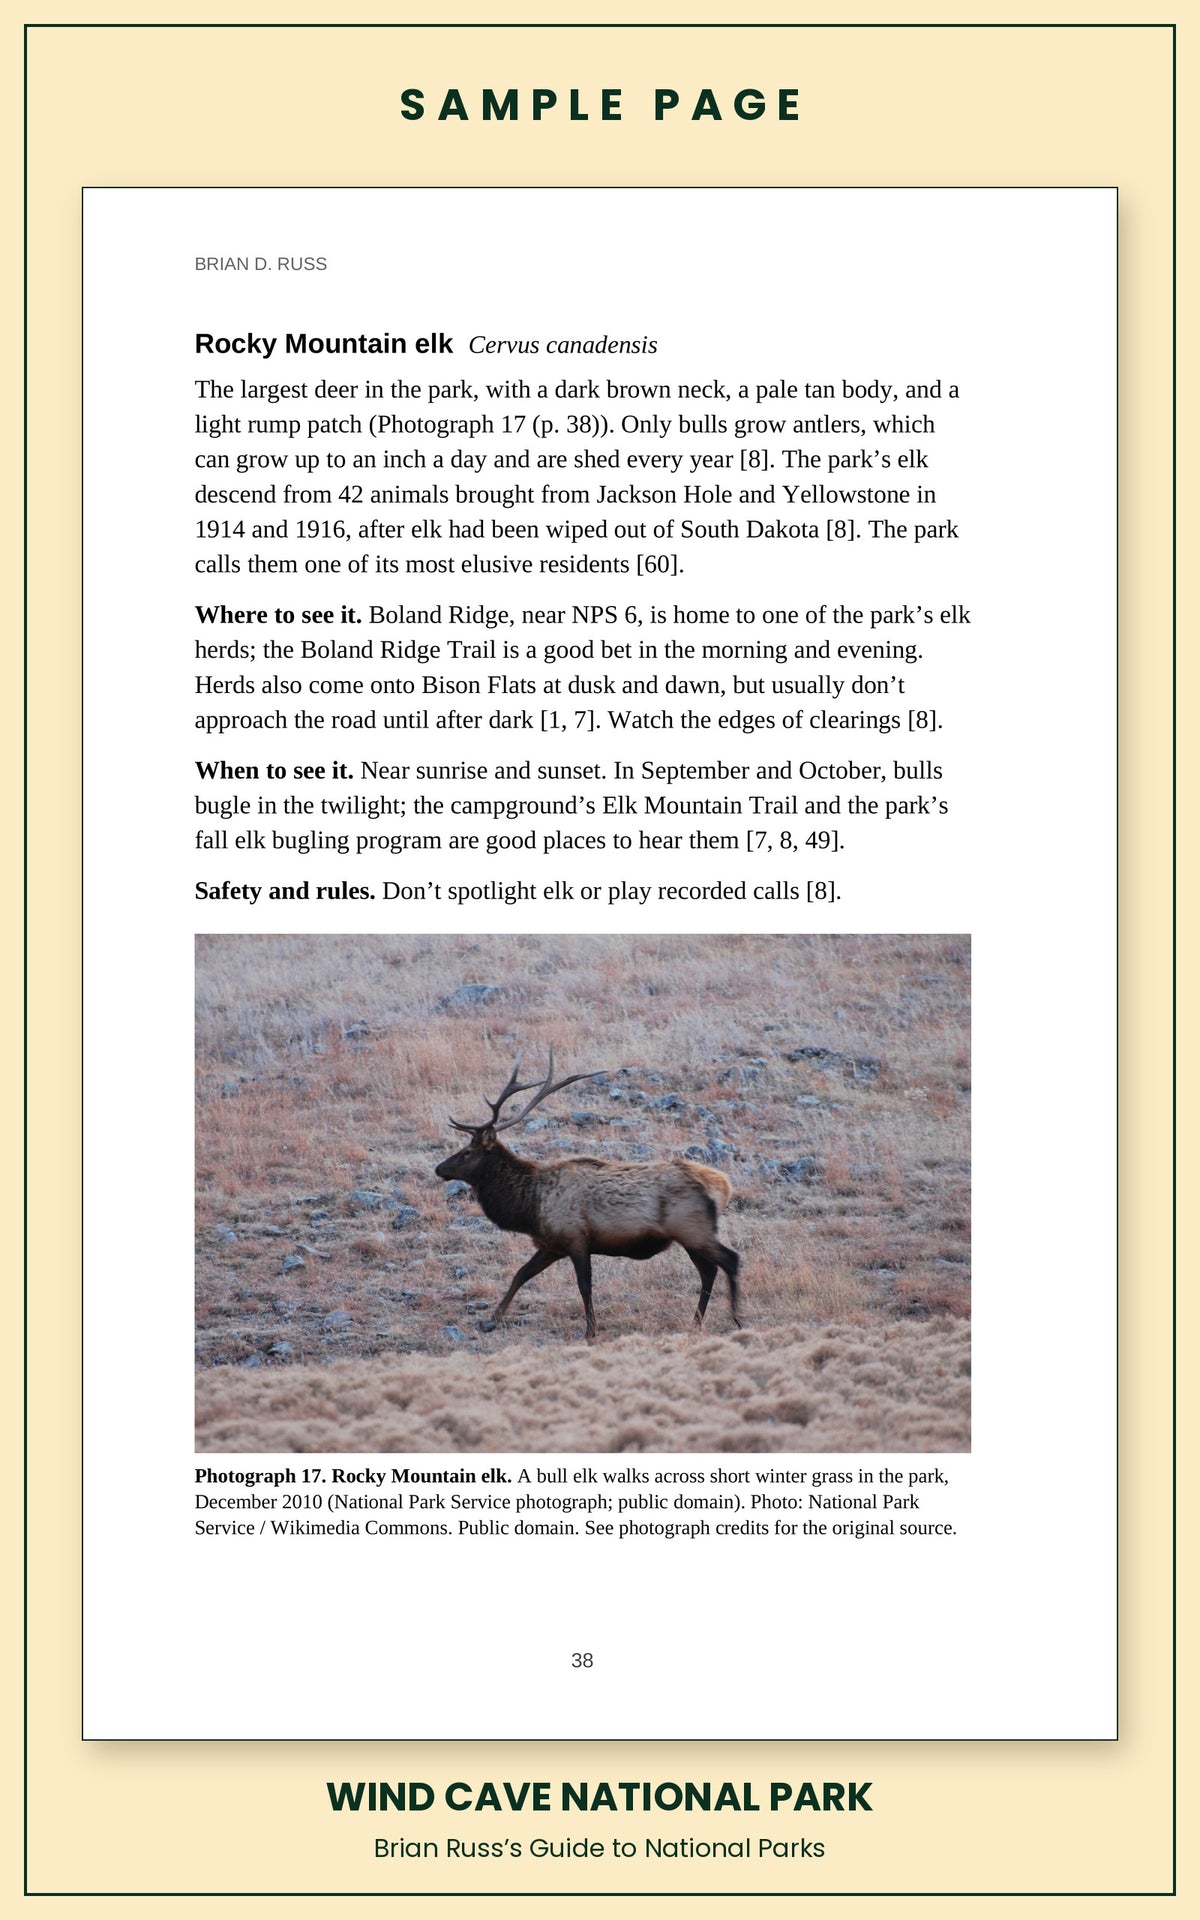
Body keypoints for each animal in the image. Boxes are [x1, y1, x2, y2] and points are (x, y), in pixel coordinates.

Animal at [434, 1052, 741, 1342]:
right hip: (691, 1235)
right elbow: (521, 1273)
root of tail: (723, 1185)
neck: (530, 1207)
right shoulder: (551, 1245)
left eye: (466, 1152)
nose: (439, 1168)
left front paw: (590, 1331)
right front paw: (491, 1320)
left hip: (692, 1228)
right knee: (709, 1271)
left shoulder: (576, 1238)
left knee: (729, 1260)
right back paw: (697, 1322)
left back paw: (736, 1318)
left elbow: (584, 1285)